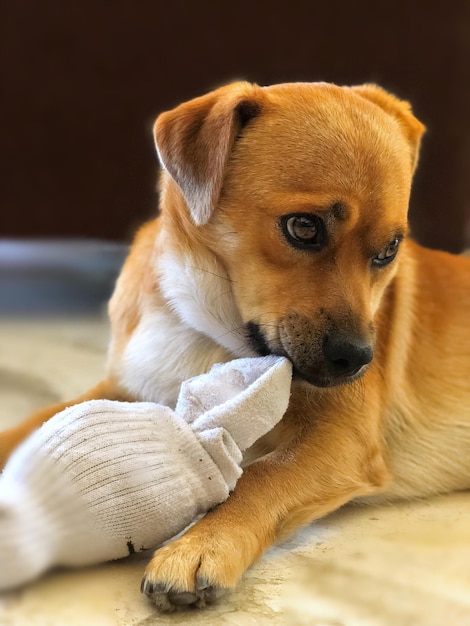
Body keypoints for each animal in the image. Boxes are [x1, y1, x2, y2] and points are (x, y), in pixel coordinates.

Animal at [0, 80, 470, 608]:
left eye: (389, 250)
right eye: (303, 227)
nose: (359, 361)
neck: (204, 325)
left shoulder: (342, 440)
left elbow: (262, 478)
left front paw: (203, 544)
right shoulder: (125, 387)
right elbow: (37, 423)